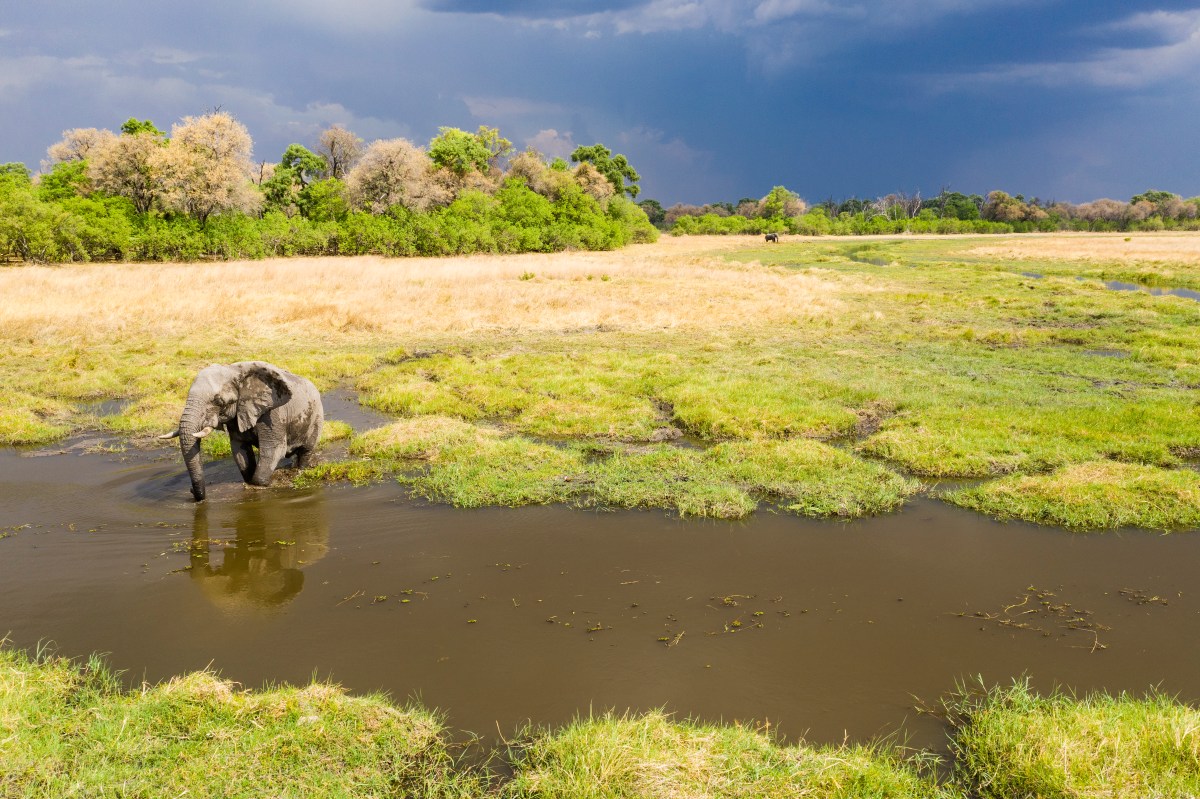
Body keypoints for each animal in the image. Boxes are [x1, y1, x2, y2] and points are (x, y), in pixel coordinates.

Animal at [160, 361, 323, 501]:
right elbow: (240, 450)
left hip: (316, 416)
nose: (191, 491)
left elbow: (274, 449)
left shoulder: (273, 414)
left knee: (305, 451)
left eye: (218, 401)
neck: (232, 370)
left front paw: (258, 486)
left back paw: (301, 470)